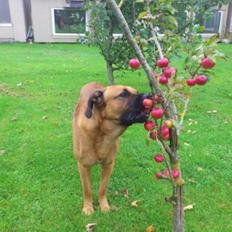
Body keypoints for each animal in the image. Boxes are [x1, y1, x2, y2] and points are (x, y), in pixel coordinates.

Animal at [73, 82, 149, 215]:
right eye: (123, 94)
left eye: (136, 91)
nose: (150, 95)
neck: (102, 133)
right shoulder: (83, 166)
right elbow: (87, 189)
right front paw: (88, 207)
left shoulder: (109, 164)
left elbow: (103, 188)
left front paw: (104, 205)